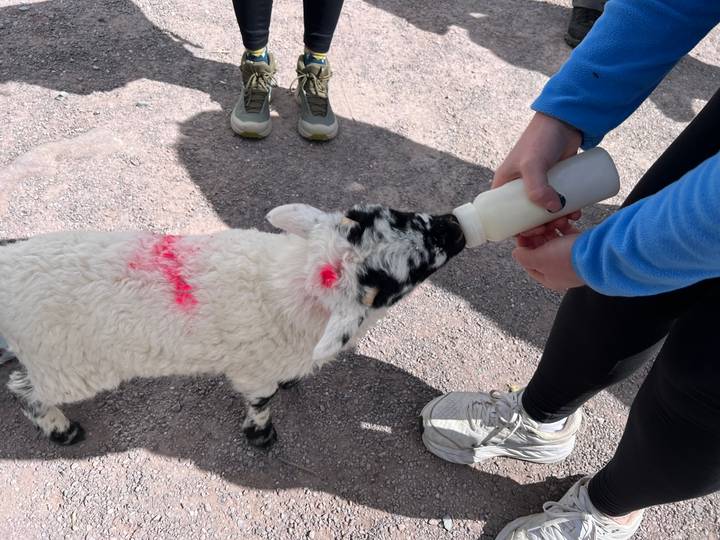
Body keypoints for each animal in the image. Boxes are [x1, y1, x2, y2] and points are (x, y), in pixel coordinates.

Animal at [0, 203, 465, 448]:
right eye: (414, 270)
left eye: (403, 214)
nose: (456, 227)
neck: (297, 282)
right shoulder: (253, 371)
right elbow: (261, 402)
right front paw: (262, 436)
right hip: (67, 366)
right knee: (25, 391)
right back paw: (63, 430)